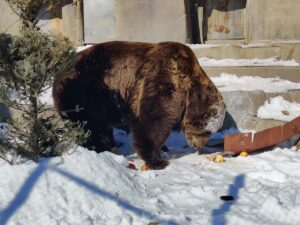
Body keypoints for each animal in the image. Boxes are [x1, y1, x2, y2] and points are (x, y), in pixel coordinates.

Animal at [52, 41, 225, 170]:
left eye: (210, 133)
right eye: (205, 131)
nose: (198, 147)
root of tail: (59, 70)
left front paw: (164, 149)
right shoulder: (163, 79)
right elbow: (154, 122)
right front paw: (157, 160)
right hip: (87, 91)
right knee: (90, 125)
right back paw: (100, 147)